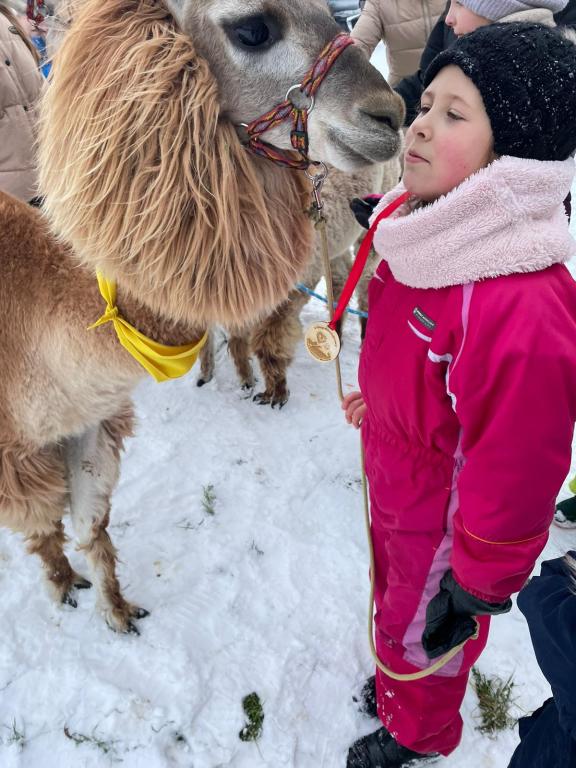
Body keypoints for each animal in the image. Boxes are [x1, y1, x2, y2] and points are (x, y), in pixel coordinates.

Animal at [196, 158, 401, 406]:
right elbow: (233, 340)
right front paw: (243, 380)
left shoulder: (288, 297)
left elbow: (269, 344)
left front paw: (275, 393)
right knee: (340, 277)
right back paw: (336, 332)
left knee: (365, 279)